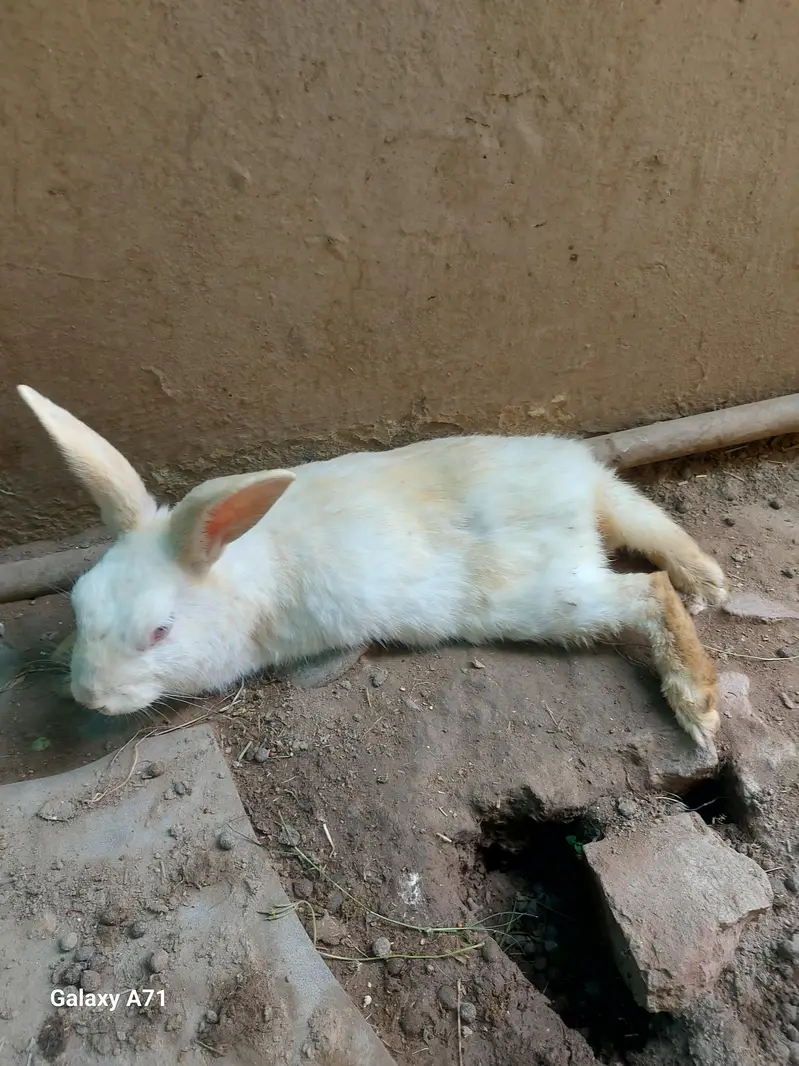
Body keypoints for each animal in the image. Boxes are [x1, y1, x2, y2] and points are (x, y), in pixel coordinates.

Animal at [17, 384, 728, 747]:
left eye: (159, 632)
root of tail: (581, 488)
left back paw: (698, 707)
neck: (234, 574)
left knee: (650, 590)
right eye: (79, 603)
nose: (88, 695)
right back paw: (707, 584)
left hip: (547, 596)